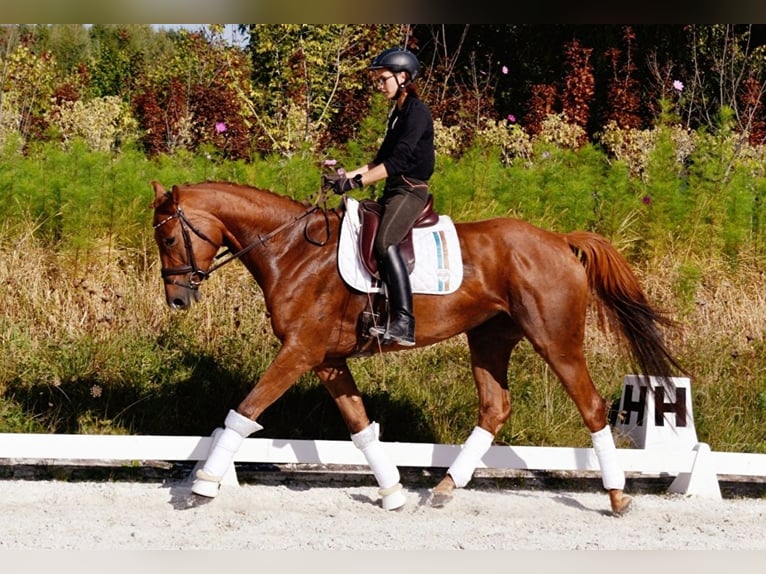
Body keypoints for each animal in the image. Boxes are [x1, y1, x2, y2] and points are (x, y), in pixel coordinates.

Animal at [152, 181, 684, 516]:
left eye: (168, 235)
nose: (177, 299)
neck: (293, 252)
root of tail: (559, 239)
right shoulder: (327, 360)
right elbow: (361, 427)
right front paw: (393, 493)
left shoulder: (299, 353)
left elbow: (244, 411)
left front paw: (202, 487)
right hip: (490, 339)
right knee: (495, 407)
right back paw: (445, 488)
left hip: (556, 339)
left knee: (590, 406)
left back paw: (617, 498)